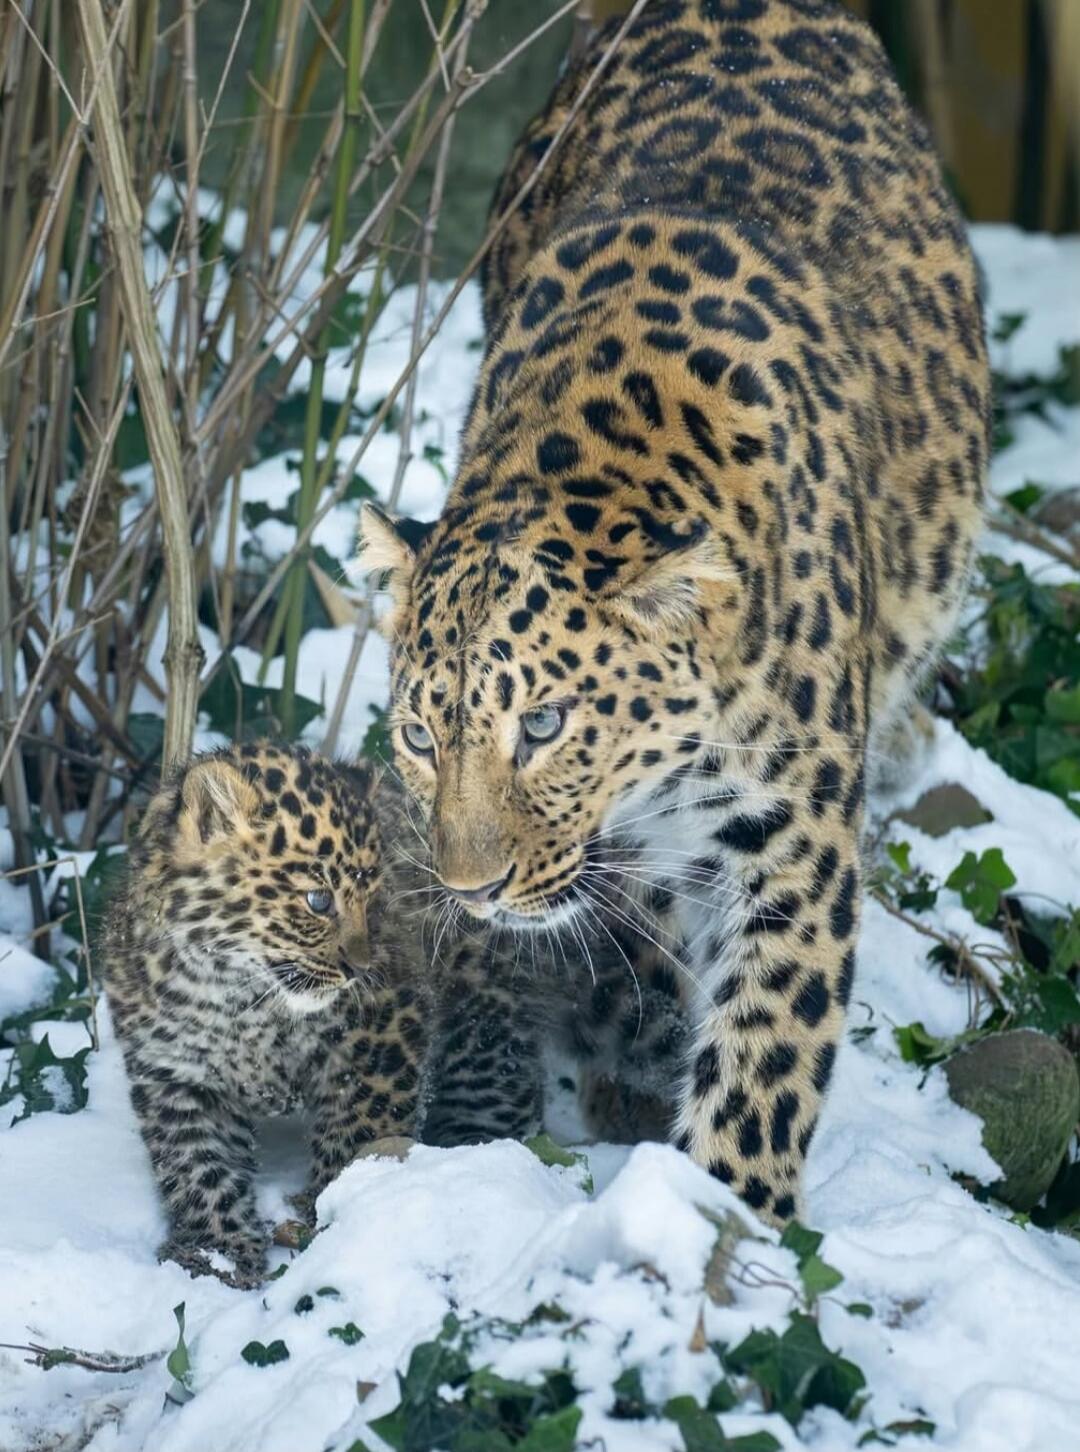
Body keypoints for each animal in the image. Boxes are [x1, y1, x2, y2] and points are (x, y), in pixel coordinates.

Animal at [102, 742, 542, 1287]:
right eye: (318, 899)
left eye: (375, 899)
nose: (360, 968)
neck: (237, 999)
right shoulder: (174, 1073)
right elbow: (196, 1164)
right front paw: (214, 1254)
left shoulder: (386, 1025)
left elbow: (363, 1126)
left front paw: (338, 1210)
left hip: (482, 1009)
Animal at [356, 0, 990, 1226]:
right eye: (418, 735)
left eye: (543, 725)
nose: (470, 890)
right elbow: (637, 930)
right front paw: (642, 1047)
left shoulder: (796, 835)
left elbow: (769, 1045)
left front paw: (727, 1215)